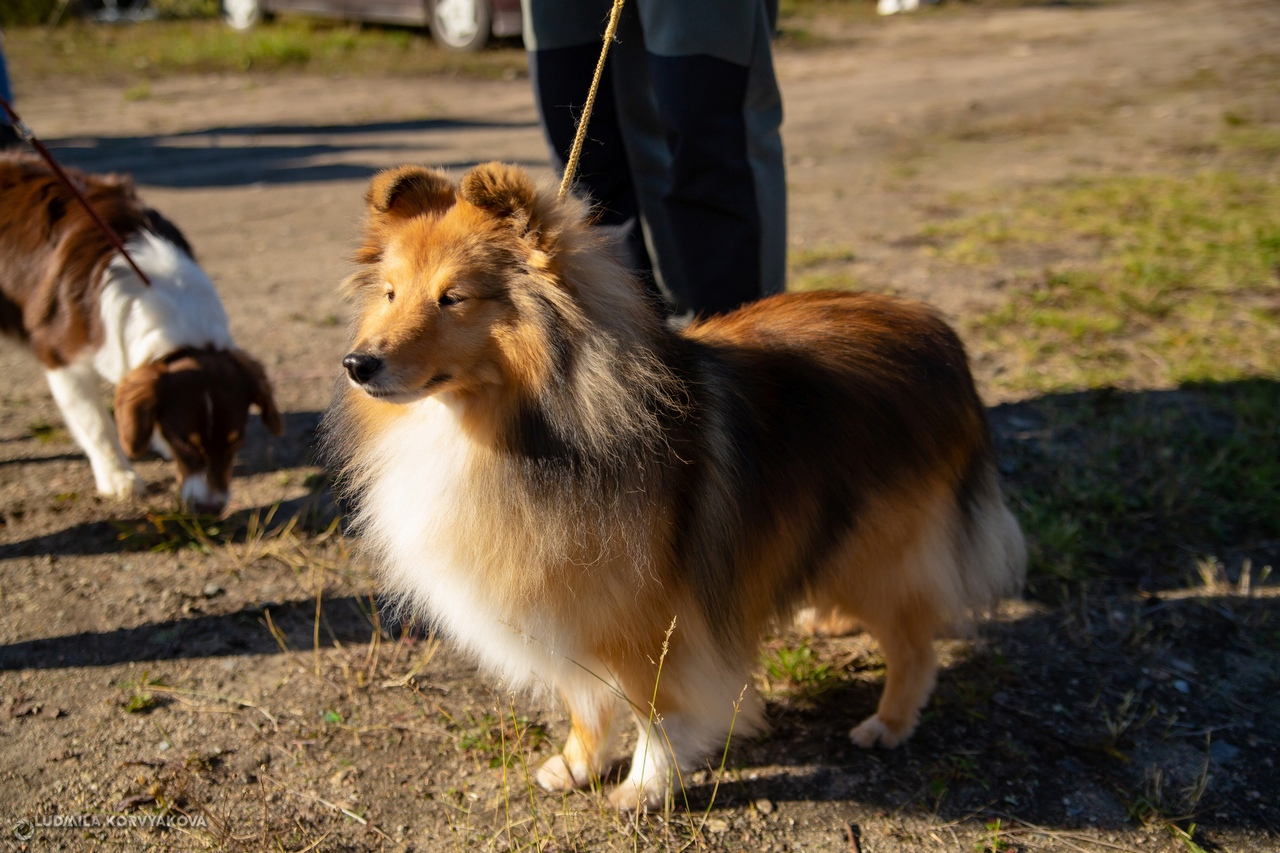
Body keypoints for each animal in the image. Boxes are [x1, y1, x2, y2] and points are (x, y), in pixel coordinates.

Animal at [0, 151, 281, 512]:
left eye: (236, 441)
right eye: (185, 443)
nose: (210, 509)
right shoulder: (61, 361)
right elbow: (96, 423)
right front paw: (117, 475)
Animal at [325, 162, 1024, 809]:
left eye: (454, 298)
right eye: (390, 292)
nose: (358, 364)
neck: (518, 428)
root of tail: (935, 330)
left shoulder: (645, 623)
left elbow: (657, 713)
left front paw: (645, 787)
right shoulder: (564, 610)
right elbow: (583, 701)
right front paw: (575, 765)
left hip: (882, 551)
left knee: (914, 642)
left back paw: (888, 722)